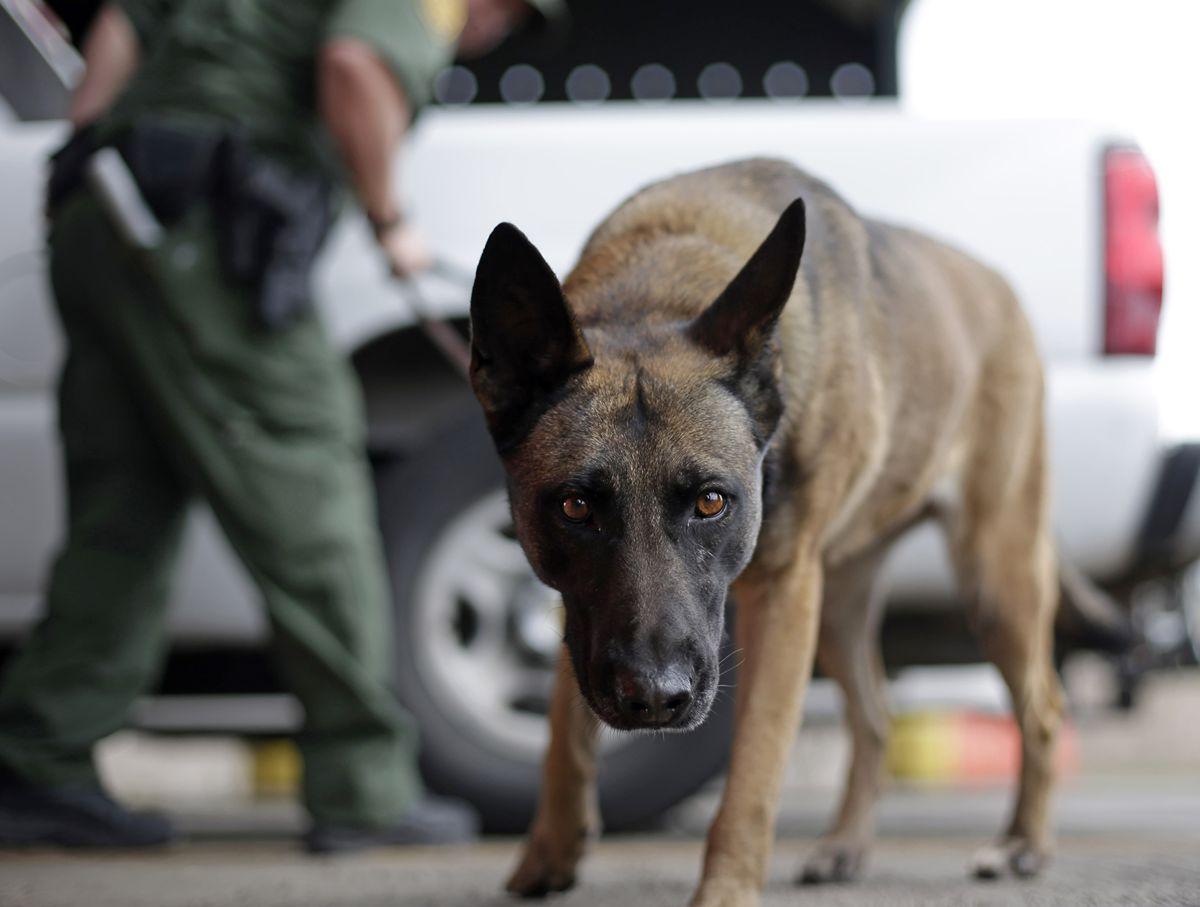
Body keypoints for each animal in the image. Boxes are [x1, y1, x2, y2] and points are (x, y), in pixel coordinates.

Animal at [463, 159, 1065, 902]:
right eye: (575, 507)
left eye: (712, 502)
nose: (655, 697)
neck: (657, 291)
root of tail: (997, 283)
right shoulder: (583, 616)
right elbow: (562, 731)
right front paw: (550, 848)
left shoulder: (779, 594)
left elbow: (754, 767)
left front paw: (726, 888)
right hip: (837, 605)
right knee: (875, 719)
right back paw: (846, 845)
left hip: (993, 581)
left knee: (1042, 710)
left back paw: (1022, 844)